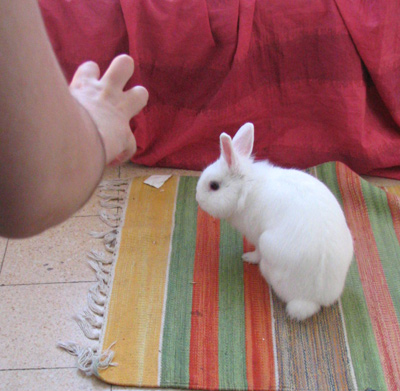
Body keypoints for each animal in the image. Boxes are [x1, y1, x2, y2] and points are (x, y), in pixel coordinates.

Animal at [195, 122, 354, 322]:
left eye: (214, 186)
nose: (198, 199)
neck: (246, 188)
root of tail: (312, 299)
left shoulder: (256, 235)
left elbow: (256, 251)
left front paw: (248, 257)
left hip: (268, 249)